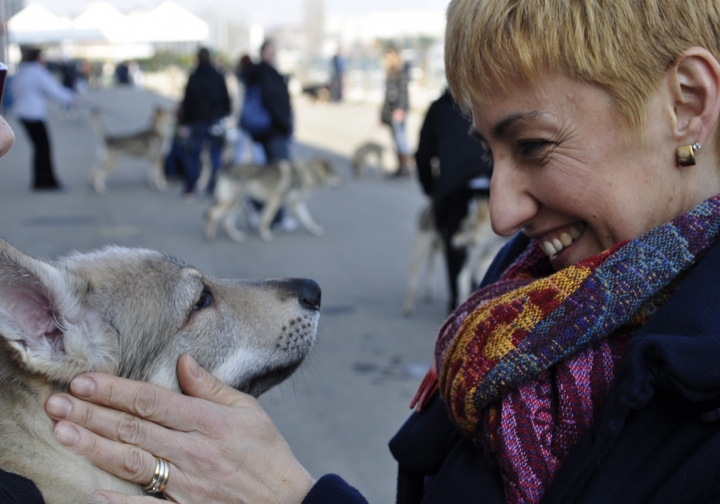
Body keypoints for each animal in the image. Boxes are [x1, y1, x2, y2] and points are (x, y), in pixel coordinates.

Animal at [205, 158, 344, 243]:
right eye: (335, 174)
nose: (345, 181)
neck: (307, 174)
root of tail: (225, 168)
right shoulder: (274, 201)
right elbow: (266, 220)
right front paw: (265, 235)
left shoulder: (297, 204)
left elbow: (308, 219)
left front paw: (315, 230)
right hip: (232, 203)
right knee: (212, 213)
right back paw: (209, 236)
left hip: (237, 204)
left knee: (225, 223)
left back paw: (236, 237)